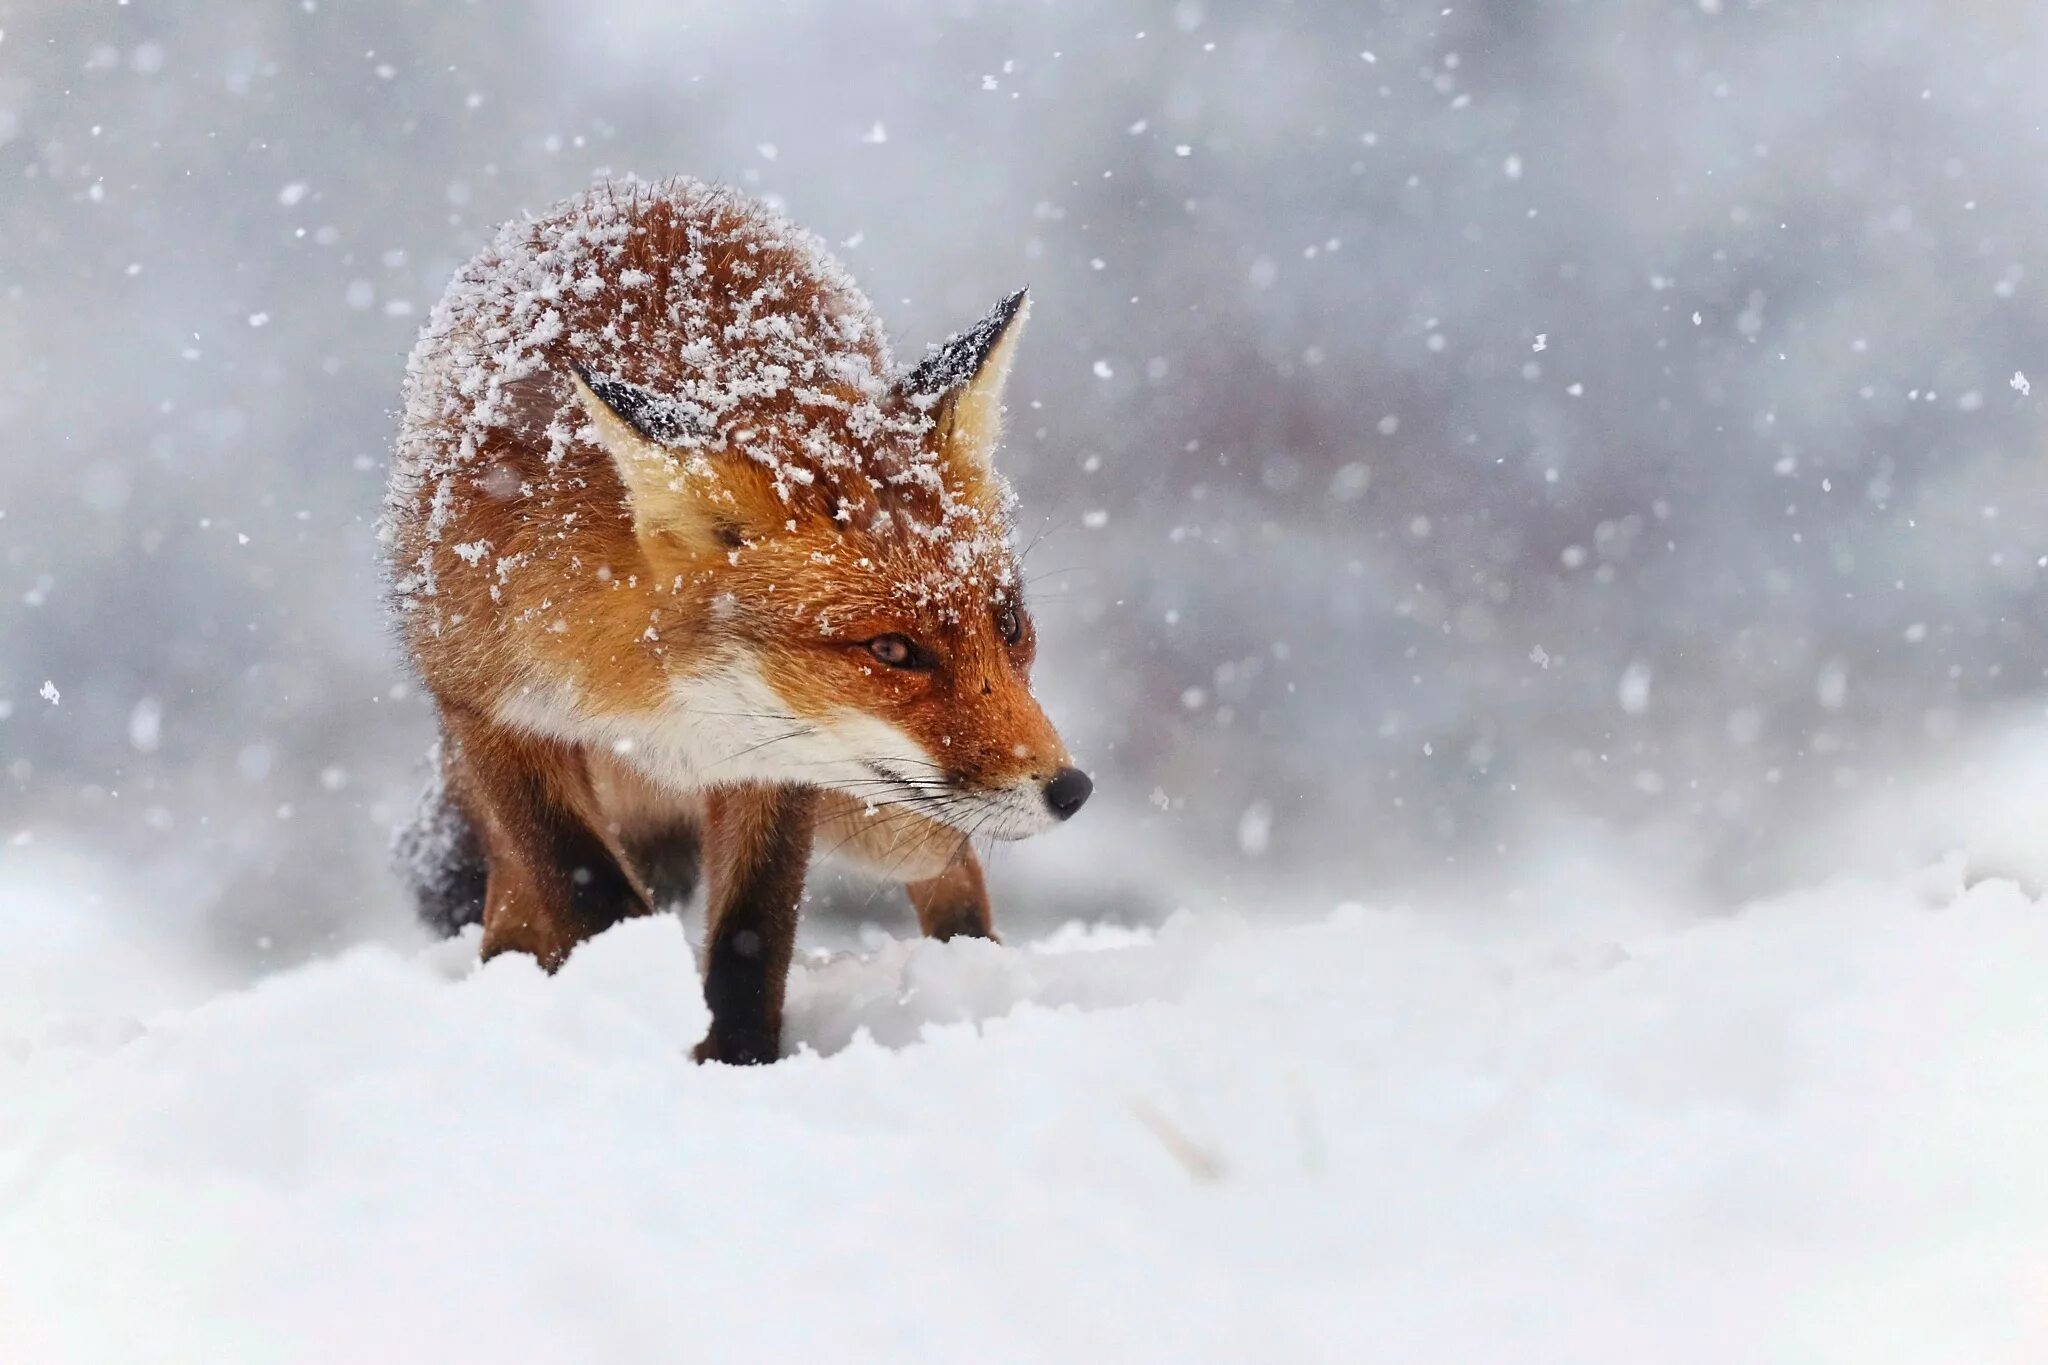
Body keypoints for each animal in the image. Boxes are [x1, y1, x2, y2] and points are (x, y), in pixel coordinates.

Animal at [382, 175, 1089, 1064]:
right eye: (891, 648)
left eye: (1010, 623)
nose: (1071, 788)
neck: (654, 700)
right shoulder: (491, 711)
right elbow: (586, 894)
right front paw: (638, 1011)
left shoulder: (773, 768)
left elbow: (753, 937)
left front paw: (738, 1059)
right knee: (511, 897)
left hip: (885, 815)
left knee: (956, 874)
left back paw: (970, 978)